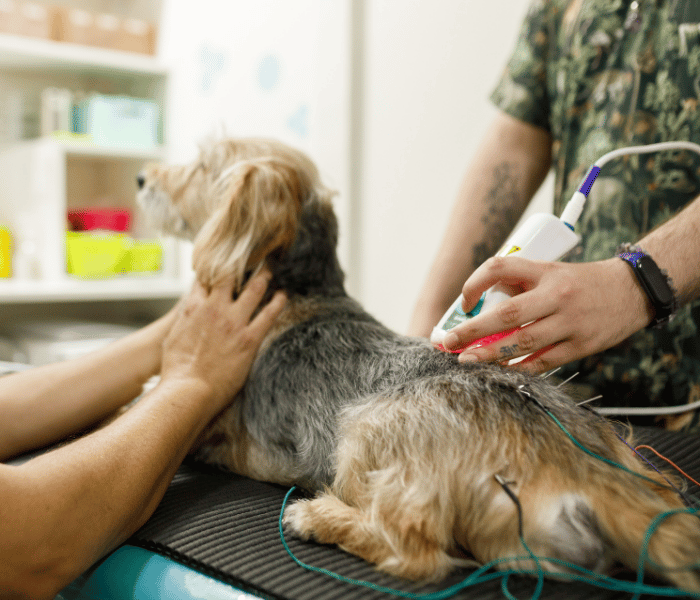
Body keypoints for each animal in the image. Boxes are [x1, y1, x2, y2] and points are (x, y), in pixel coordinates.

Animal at [137, 137, 700, 592]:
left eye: (202, 164)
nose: (141, 177)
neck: (303, 289)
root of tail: (582, 466)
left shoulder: (213, 426)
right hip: (624, 464)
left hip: (364, 431)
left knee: (413, 554)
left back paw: (318, 517)